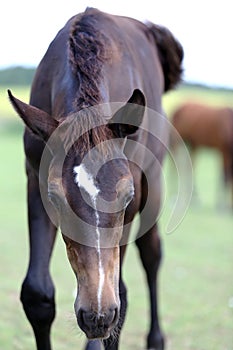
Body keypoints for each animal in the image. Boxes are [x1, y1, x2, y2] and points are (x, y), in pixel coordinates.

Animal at [8, 8, 184, 350]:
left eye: (127, 195)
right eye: (55, 198)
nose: (97, 315)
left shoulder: (135, 192)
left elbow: (122, 293)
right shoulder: (34, 177)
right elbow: (37, 294)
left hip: (154, 183)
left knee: (151, 254)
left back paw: (154, 339)